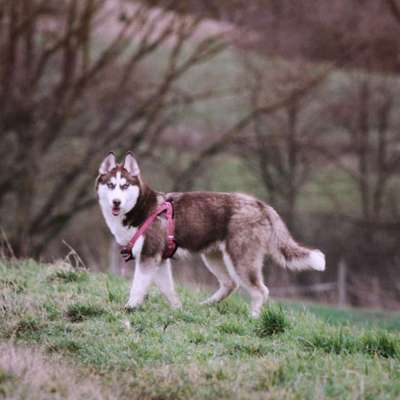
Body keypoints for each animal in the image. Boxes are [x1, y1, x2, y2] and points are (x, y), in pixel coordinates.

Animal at [97, 152, 324, 318]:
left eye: (125, 186)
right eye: (110, 185)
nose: (116, 202)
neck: (141, 208)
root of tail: (260, 204)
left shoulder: (148, 257)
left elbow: (137, 287)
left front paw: (128, 308)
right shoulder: (159, 261)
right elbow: (168, 290)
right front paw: (178, 310)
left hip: (240, 259)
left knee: (260, 290)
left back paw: (253, 318)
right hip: (213, 257)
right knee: (230, 284)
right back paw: (206, 305)